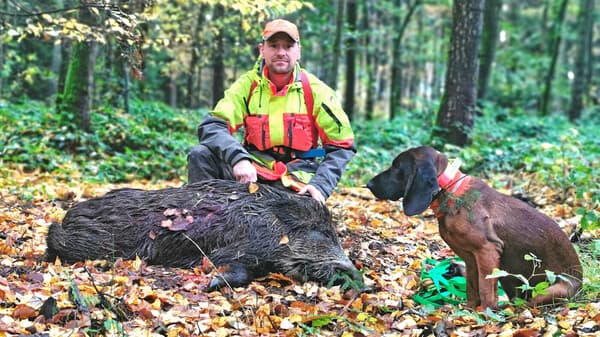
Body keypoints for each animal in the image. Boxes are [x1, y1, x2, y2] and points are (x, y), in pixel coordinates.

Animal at [366, 144, 580, 308]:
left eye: (396, 167)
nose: (368, 184)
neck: (450, 191)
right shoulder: (471, 258)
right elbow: (472, 288)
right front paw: (468, 311)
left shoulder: (487, 251)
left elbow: (486, 291)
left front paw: (484, 315)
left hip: (550, 290)